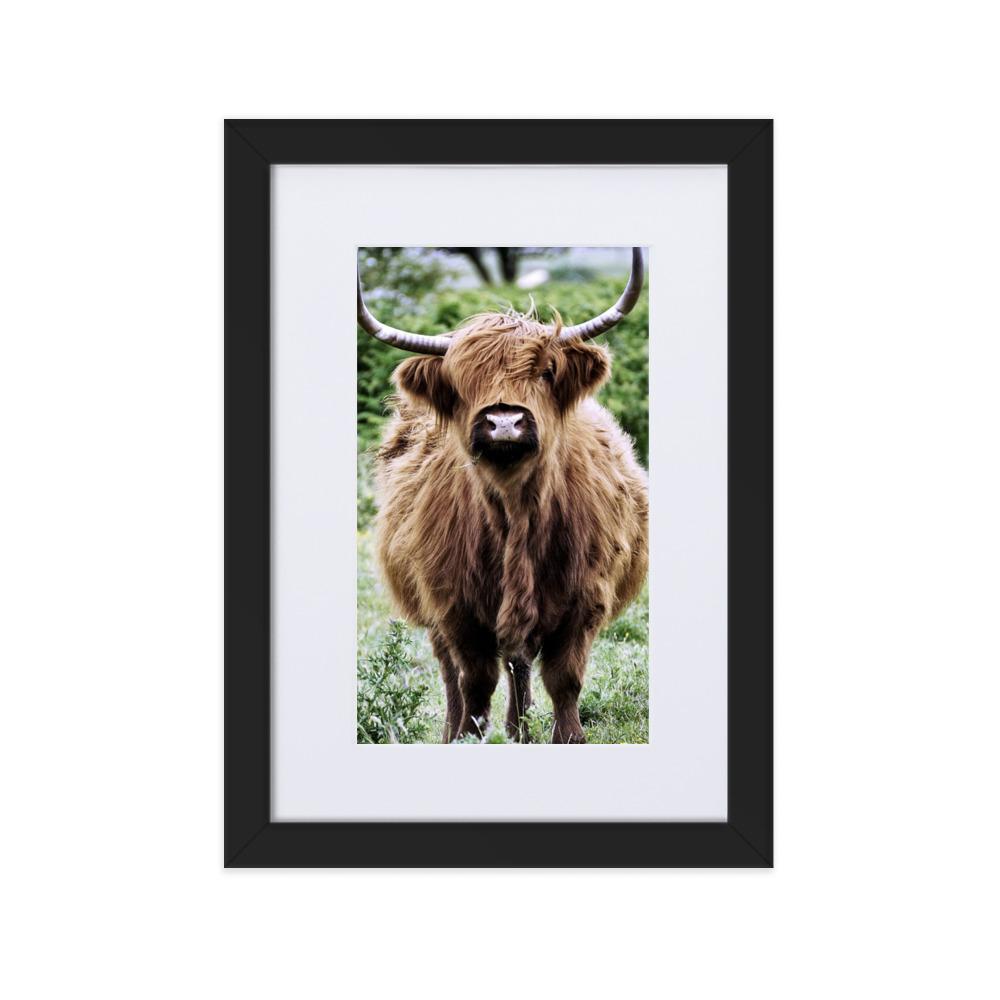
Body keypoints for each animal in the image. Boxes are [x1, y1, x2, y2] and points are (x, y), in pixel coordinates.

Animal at [359, 249, 649, 743]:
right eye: (461, 380)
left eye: (547, 371)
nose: (505, 422)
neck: (517, 511)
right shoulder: (453, 606)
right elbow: (474, 680)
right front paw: (469, 736)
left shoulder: (585, 599)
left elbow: (564, 678)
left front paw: (568, 737)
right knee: (454, 672)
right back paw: (463, 731)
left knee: (520, 662)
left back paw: (520, 729)